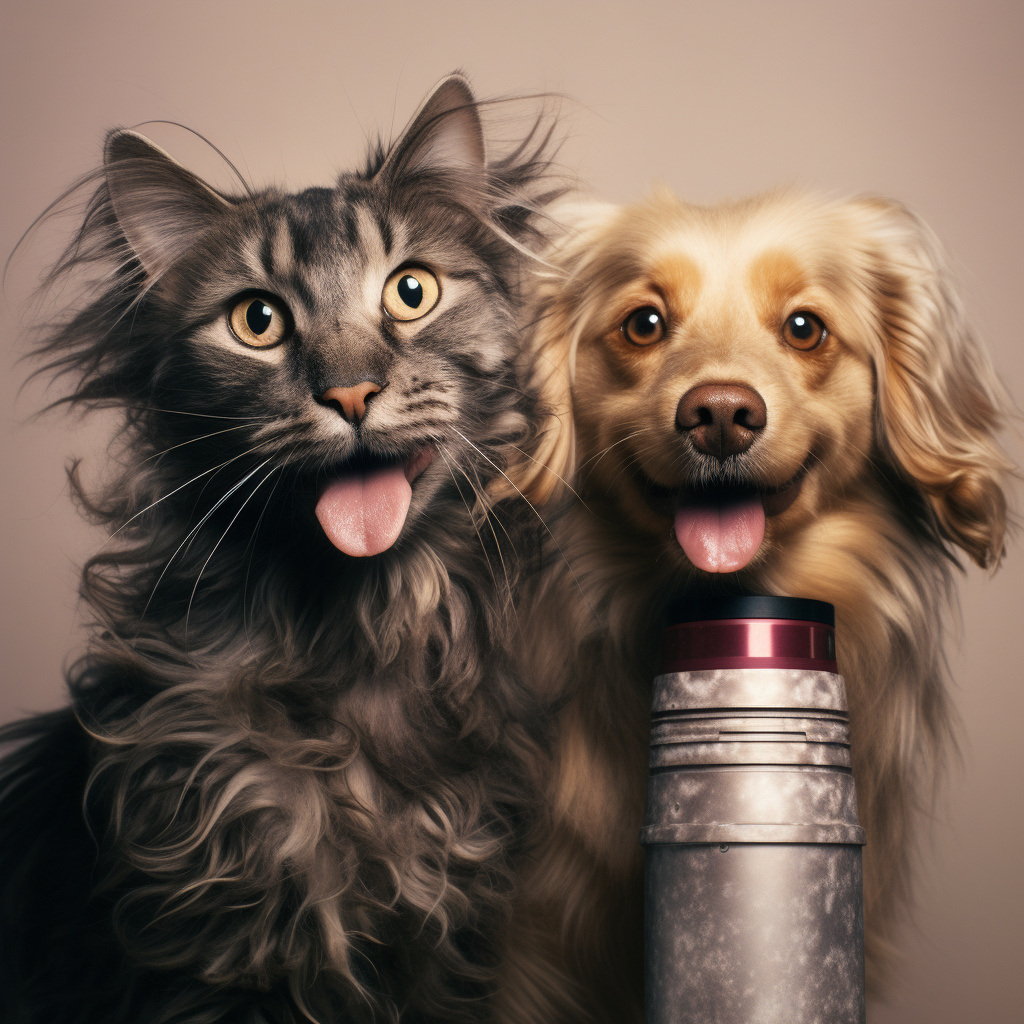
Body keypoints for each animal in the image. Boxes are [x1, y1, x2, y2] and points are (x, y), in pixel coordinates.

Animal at [0, 74, 561, 1024]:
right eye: (257, 321)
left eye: (411, 291)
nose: (351, 392)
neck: (364, 634)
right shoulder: (216, 945)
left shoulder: (455, 934)